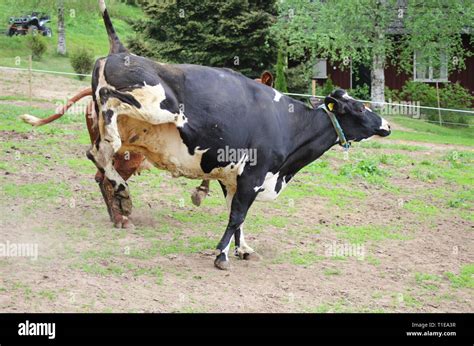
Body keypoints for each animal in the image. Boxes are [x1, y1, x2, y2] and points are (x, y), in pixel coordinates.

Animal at [89, 0, 392, 270]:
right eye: (359, 107)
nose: (386, 125)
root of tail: (123, 51)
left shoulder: (231, 176)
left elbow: (237, 215)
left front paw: (242, 249)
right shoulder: (253, 175)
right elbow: (237, 215)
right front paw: (221, 255)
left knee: (97, 156)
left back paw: (121, 197)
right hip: (157, 106)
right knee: (107, 113)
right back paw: (118, 173)